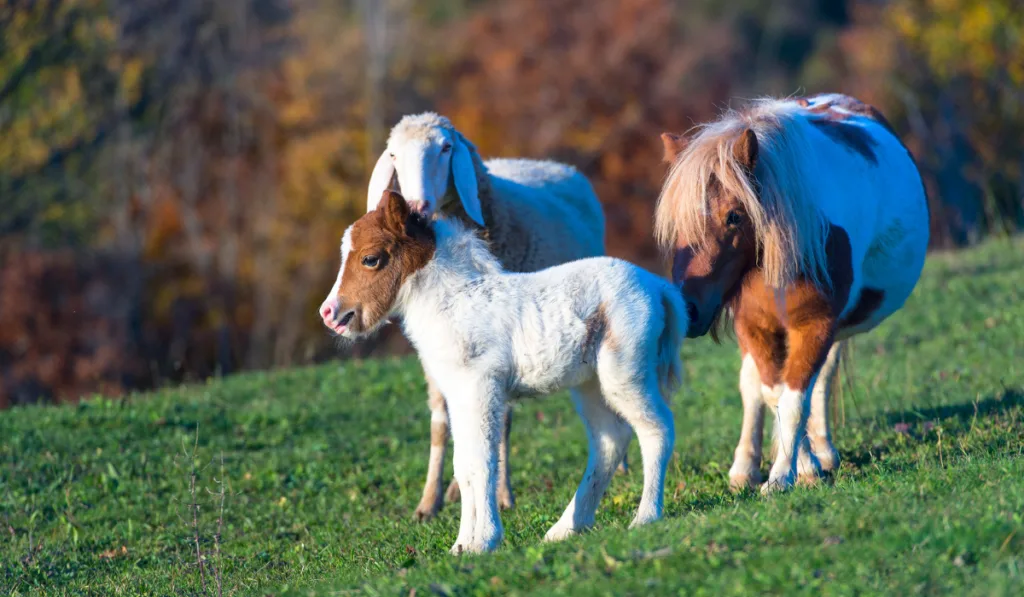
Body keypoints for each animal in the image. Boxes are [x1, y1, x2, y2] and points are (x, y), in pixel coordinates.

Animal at [323, 192, 684, 557]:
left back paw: (645, 517)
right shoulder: (457, 395)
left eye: (370, 259)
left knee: (656, 429)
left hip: (624, 373)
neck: (453, 302)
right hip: (589, 385)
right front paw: (461, 546)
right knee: (610, 440)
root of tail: (657, 286)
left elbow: (482, 460)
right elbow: (463, 465)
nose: (330, 313)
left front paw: (484, 540)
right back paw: (566, 528)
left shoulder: (480, 387)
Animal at [348, 113, 610, 524]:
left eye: (445, 147)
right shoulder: (436, 351)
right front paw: (429, 502)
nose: (416, 204)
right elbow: (441, 422)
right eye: (392, 154)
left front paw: (501, 496)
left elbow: (500, 423)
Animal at [655, 95, 929, 493]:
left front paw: (790, 474)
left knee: (821, 380)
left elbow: (796, 398)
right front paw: (798, 465)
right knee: (753, 387)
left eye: (734, 216)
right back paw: (745, 467)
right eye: (677, 223)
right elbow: (774, 395)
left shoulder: (815, 325)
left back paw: (823, 450)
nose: (688, 310)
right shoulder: (755, 328)